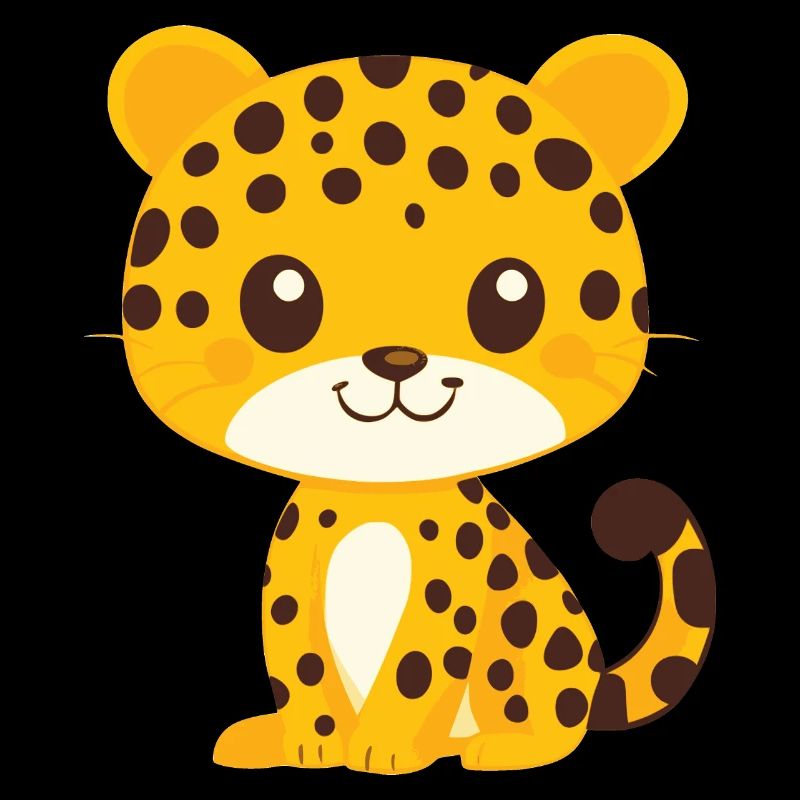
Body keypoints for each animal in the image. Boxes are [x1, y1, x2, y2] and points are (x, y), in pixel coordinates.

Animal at [100, 26, 714, 773]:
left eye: (512, 294)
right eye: (279, 294)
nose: (397, 359)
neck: (378, 495)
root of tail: (598, 681)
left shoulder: (450, 588)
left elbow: (414, 669)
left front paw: (383, 748)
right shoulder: (292, 575)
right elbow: (299, 662)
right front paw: (310, 741)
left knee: (557, 718)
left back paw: (506, 745)